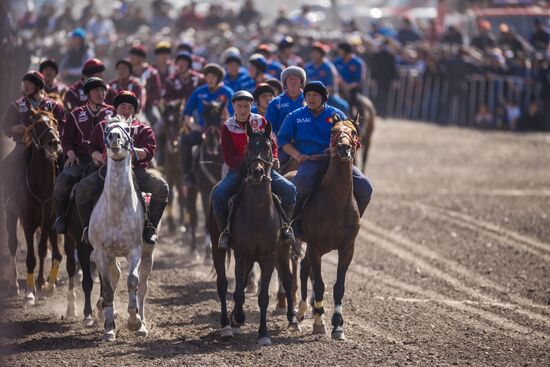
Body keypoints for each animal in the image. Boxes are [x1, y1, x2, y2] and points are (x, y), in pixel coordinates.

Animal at [6, 109, 63, 304]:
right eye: (38, 124)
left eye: (55, 122)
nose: (54, 143)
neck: (42, 187)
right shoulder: (28, 222)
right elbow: (31, 257)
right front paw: (30, 291)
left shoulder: (48, 222)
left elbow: (42, 250)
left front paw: (41, 283)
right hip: (10, 213)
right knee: (13, 244)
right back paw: (14, 284)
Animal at [90, 115, 155, 342]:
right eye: (106, 128)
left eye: (127, 128)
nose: (114, 137)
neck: (117, 208)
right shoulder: (101, 253)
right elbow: (108, 289)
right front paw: (109, 328)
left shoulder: (134, 251)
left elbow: (132, 282)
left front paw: (134, 322)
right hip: (109, 256)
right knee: (114, 276)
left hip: (148, 253)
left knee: (143, 285)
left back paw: (142, 324)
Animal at [209, 122, 300, 346]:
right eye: (249, 148)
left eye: (268, 147)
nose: (257, 172)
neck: (258, 213)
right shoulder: (241, 255)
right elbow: (238, 292)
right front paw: (238, 318)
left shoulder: (269, 256)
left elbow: (263, 296)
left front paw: (264, 334)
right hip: (217, 246)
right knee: (223, 284)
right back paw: (227, 325)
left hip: (281, 250)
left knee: (287, 279)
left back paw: (293, 320)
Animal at [296, 114, 364, 342]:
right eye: (333, 131)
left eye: (353, 131)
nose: (343, 147)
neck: (335, 203)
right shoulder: (316, 246)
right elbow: (319, 284)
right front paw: (319, 323)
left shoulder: (347, 248)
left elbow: (338, 287)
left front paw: (338, 327)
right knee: (304, 270)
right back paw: (298, 313)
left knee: (304, 267)